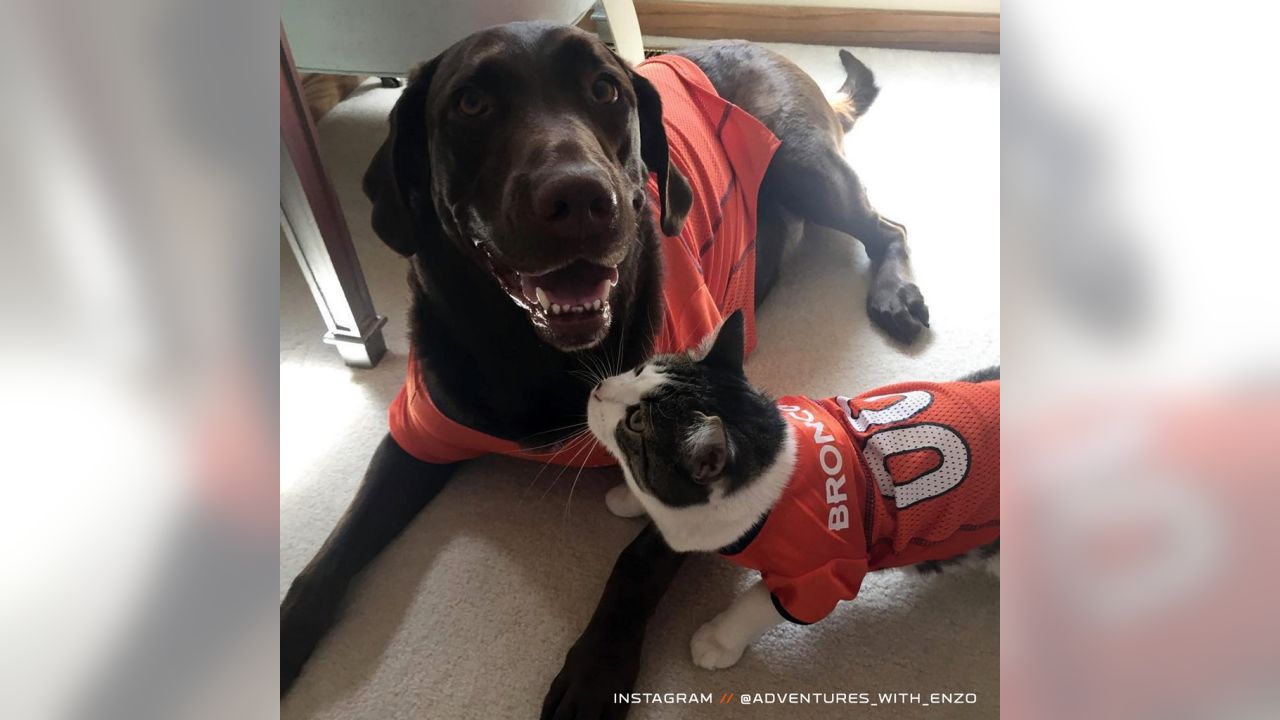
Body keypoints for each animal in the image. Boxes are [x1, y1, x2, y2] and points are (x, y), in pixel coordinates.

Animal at [588, 311, 998, 671]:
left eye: (635, 421)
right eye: (639, 369)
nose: (597, 389)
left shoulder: (825, 567)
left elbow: (759, 604)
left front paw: (718, 641)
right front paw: (626, 498)